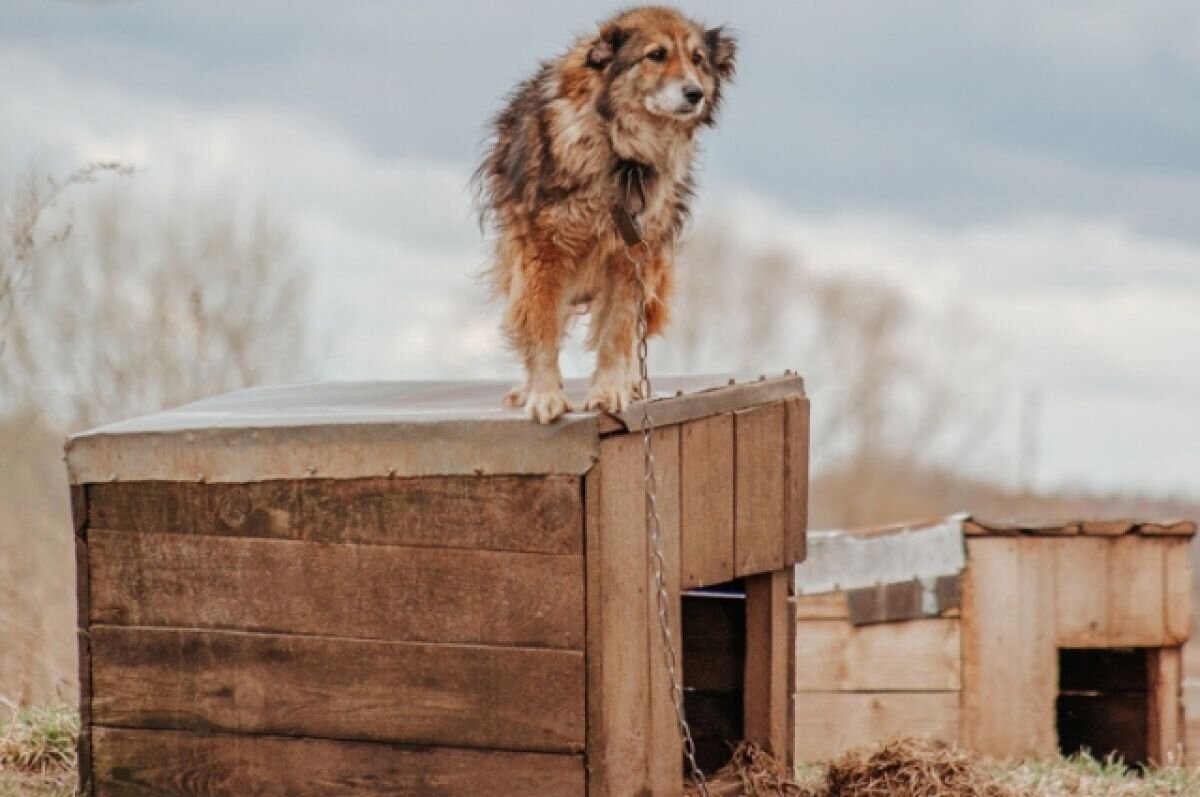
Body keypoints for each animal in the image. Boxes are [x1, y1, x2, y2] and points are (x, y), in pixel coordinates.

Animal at [472, 4, 734, 422]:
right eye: (656, 55)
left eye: (697, 60)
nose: (695, 93)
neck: (622, 154)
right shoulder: (544, 251)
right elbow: (541, 327)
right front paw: (543, 395)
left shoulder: (632, 256)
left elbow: (618, 333)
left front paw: (610, 391)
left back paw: (632, 383)